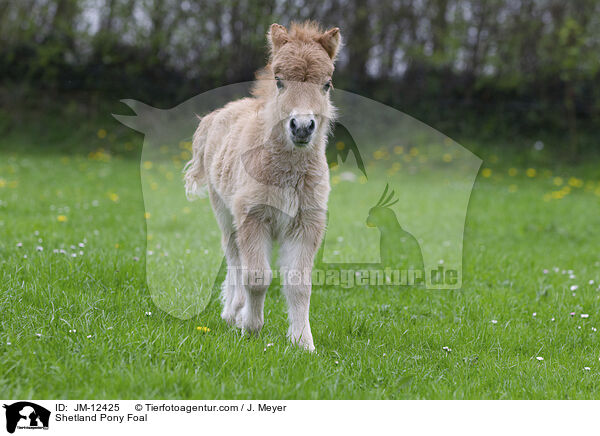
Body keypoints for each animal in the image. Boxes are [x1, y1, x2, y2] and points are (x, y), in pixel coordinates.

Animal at [183, 23, 342, 350]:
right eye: (279, 81)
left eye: (327, 84)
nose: (302, 127)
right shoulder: (253, 216)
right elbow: (256, 276)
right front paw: (251, 328)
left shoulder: (307, 223)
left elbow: (299, 284)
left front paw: (303, 343)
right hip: (224, 212)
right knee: (234, 258)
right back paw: (233, 313)